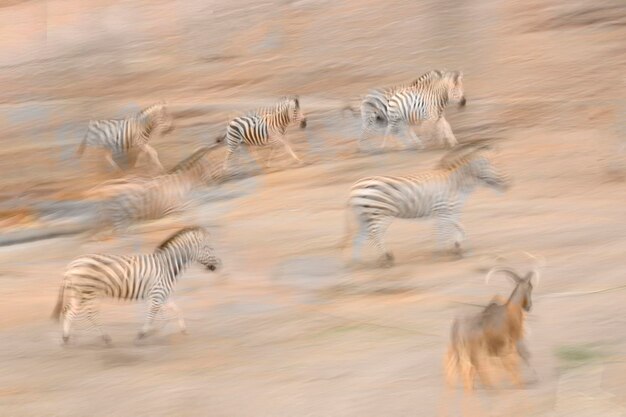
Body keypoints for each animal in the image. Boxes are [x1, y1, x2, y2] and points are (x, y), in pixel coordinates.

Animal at [51, 226, 222, 342]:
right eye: (210, 248)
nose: (217, 266)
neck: (167, 266)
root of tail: (71, 265)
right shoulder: (157, 294)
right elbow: (152, 315)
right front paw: (143, 333)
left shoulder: (163, 294)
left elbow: (175, 310)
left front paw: (181, 330)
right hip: (88, 292)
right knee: (89, 314)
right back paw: (105, 337)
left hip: (78, 293)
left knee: (69, 311)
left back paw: (67, 337)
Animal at [338, 141, 510, 266]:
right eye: (495, 166)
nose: (508, 185)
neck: (456, 184)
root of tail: (352, 189)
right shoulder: (443, 211)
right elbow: (443, 233)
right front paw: (441, 253)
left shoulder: (449, 211)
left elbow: (460, 229)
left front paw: (456, 247)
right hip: (380, 214)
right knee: (375, 235)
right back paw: (387, 258)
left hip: (364, 217)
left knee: (359, 238)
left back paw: (359, 263)